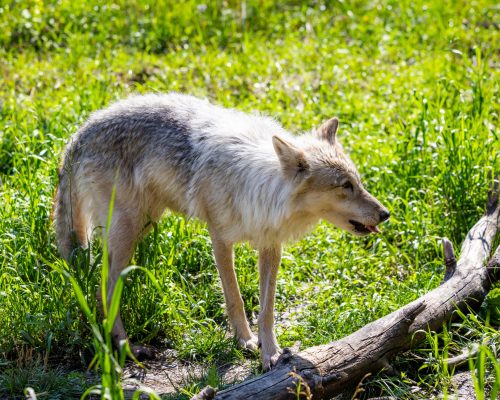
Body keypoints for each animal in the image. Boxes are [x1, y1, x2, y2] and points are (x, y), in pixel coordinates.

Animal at [53, 93, 389, 370]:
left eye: (359, 182)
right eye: (344, 186)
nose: (385, 214)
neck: (259, 187)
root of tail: (78, 134)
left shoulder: (270, 245)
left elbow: (267, 309)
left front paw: (271, 353)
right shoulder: (220, 239)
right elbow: (235, 297)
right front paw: (245, 342)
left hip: (142, 224)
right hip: (128, 231)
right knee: (104, 290)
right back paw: (127, 349)